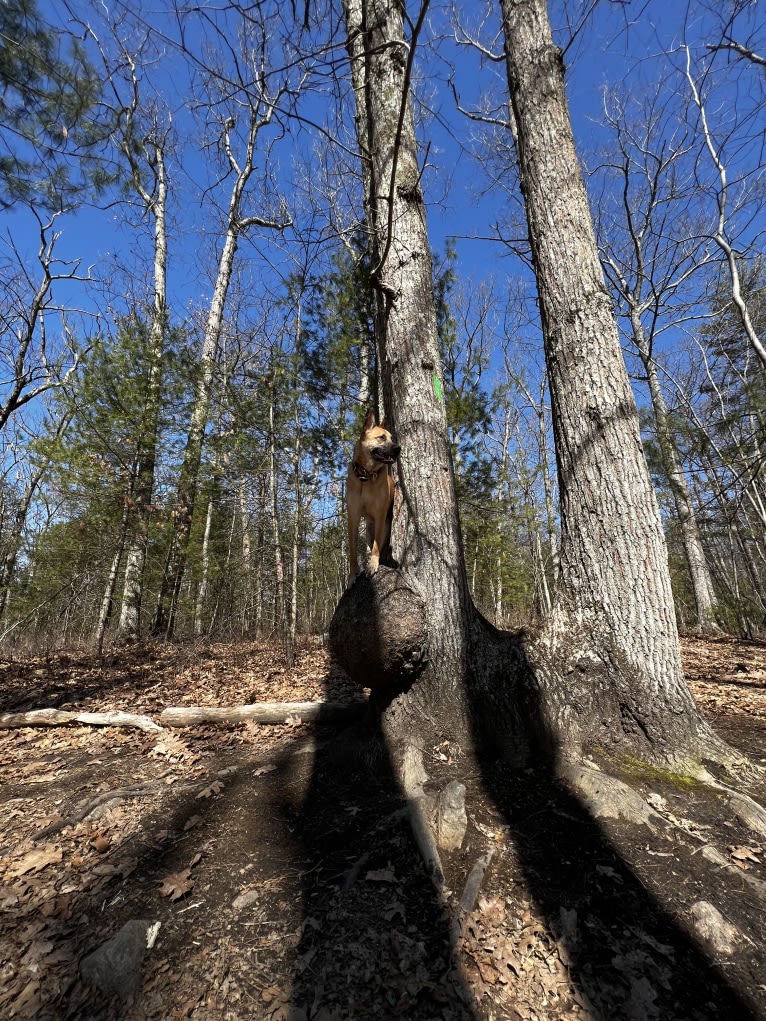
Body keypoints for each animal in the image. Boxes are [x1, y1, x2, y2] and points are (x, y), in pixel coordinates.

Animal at [347, 406, 402, 584]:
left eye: (392, 438)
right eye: (381, 438)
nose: (398, 448)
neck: (366, 476)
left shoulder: (380, 515)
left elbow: (377, 546)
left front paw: (373, 564)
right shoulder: (353, 517)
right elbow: (353, 549)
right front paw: (353, 574)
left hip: (385, 527)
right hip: (369, 529)